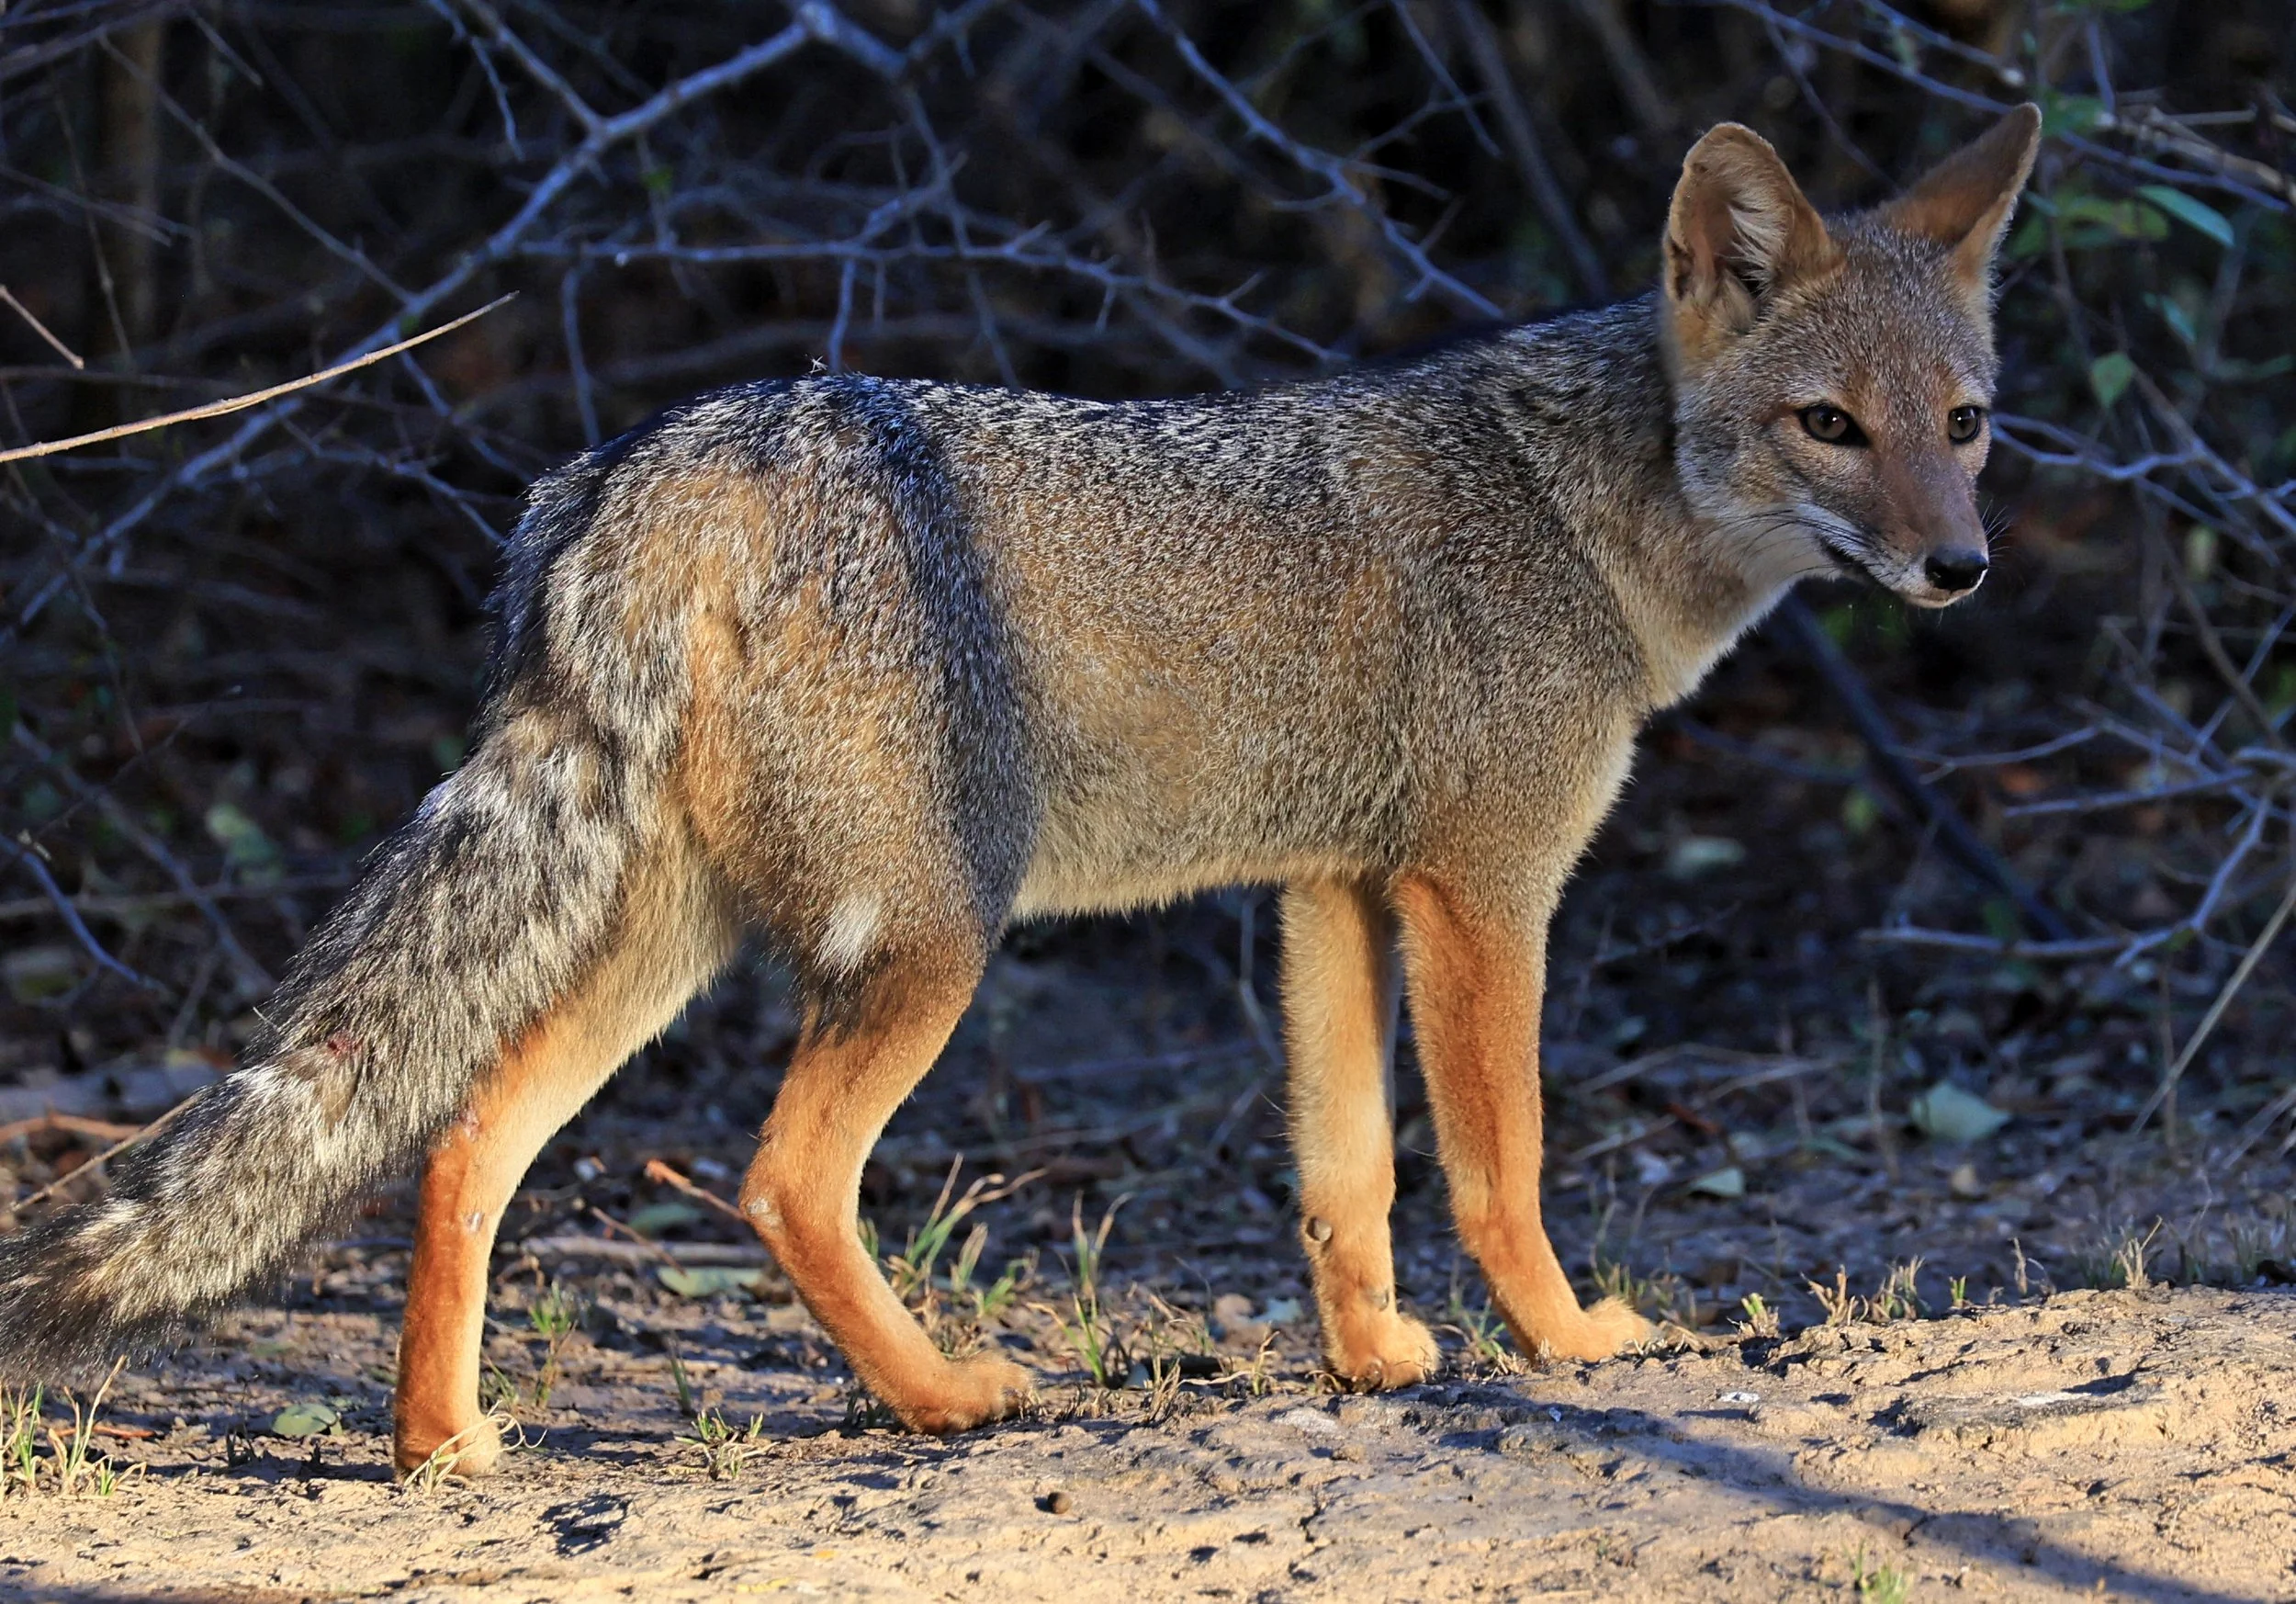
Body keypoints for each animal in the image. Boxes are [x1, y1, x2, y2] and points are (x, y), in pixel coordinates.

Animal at [0, 106, 2039, 1476]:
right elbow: (1497, 1166)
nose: (1959, 573)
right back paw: (940, 1401)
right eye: (1827, 428)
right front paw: (1567, 1345)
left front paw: (1378, 1360)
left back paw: (445, 1443)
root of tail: (663, 457)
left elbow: (1346, 1174)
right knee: (778, 1180)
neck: (1579, 513)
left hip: (671, 953)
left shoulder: (1327, 890)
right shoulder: (1481, 889)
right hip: (929, 941)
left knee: (464, 1145)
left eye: (1963, 425)